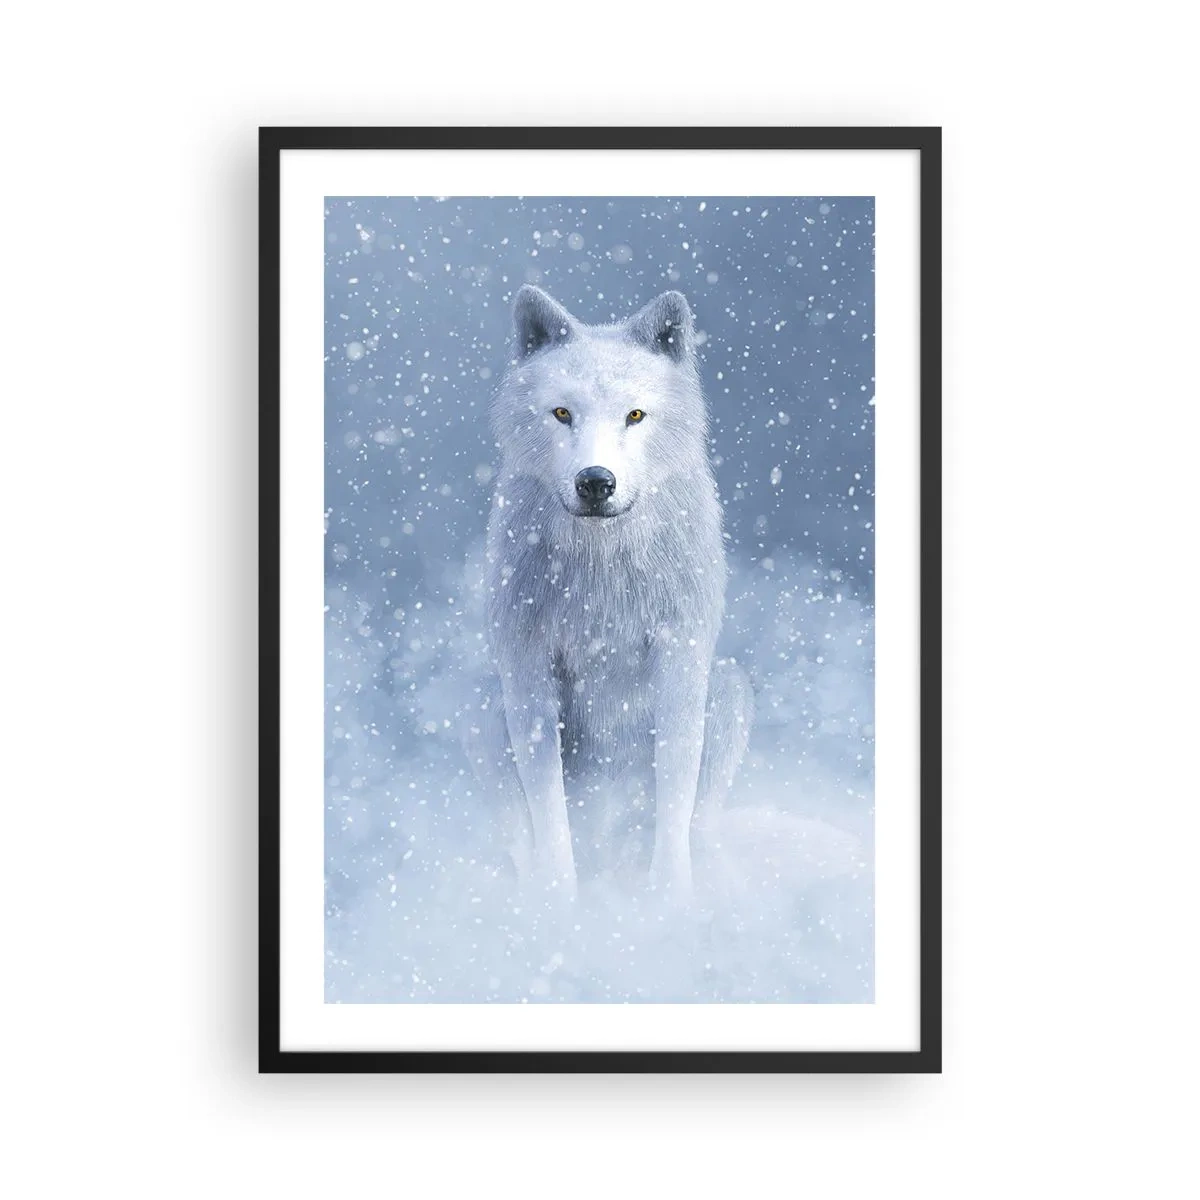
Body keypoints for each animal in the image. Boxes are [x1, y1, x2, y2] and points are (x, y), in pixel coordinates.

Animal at [466, 285, 752, 898]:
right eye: (562, 413)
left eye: (634, 415)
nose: (595, 482)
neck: (601, 567)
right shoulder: (527, 664)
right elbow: (548, 805)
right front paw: (558, 904)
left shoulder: (680, 657)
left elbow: (675, 791)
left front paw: (669, 901)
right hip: (480, 707)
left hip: (729, 688)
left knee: (698, 821)